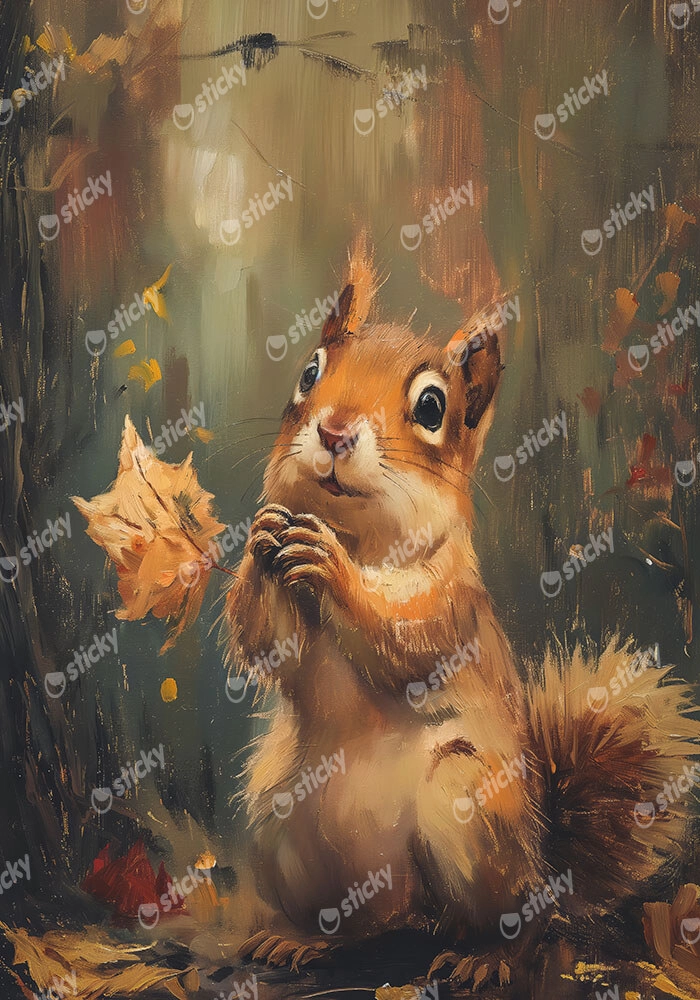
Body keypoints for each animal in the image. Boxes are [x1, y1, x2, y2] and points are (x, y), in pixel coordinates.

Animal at [225, 238, 699, 987]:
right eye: (308, 371)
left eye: (430, 405)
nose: (333, 431)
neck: (363, 538)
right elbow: (268, 642)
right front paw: (259, 545)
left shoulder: (453, 602)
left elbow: (408, 635)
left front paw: (334, 571)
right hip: (281, 817)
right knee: (357, 925)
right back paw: (303, 940)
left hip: (474, 808)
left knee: (513, 925)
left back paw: (486, 957)